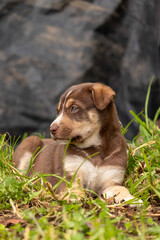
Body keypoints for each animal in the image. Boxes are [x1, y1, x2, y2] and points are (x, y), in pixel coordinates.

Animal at [13, 82, 141, 204]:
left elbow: (122, 189)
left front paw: (131, 199)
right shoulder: (70, 176)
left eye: (74, 108)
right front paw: (74, 197)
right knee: (18, 177)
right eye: (58, 111)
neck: (95, 148)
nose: (51, 129)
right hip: (31, 141)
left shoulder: (111, 181)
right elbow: (73, 189)